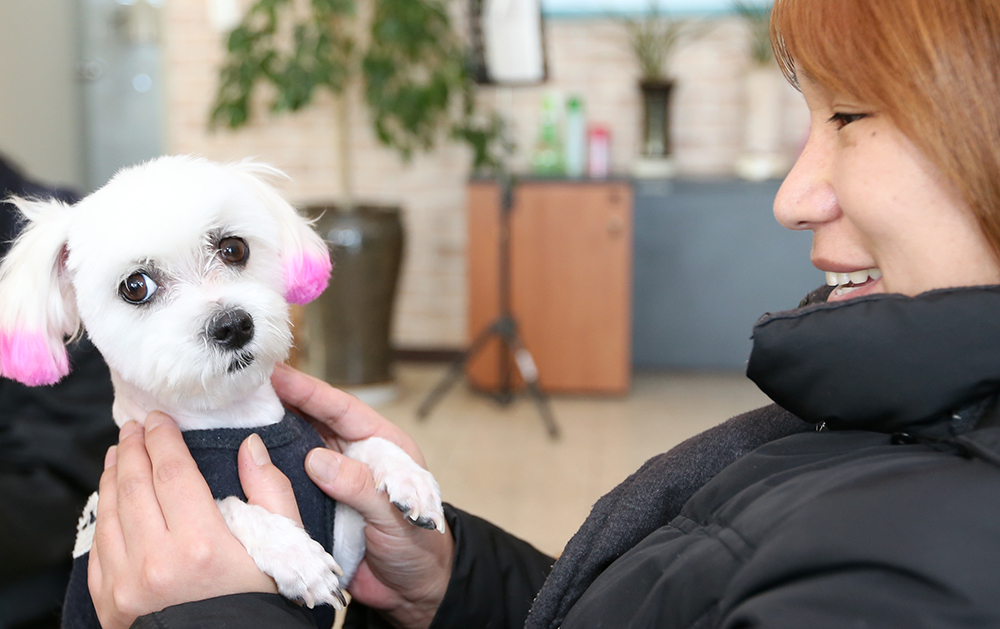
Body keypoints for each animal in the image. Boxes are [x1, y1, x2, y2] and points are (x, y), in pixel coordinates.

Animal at [0, 156, 442, 620]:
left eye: (234, 248)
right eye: (135, 286)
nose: (232, 325)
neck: (232, 417)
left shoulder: (351, 536)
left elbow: (356, 446)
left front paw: (406, 473)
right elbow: (226, 506)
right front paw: (293, 553)